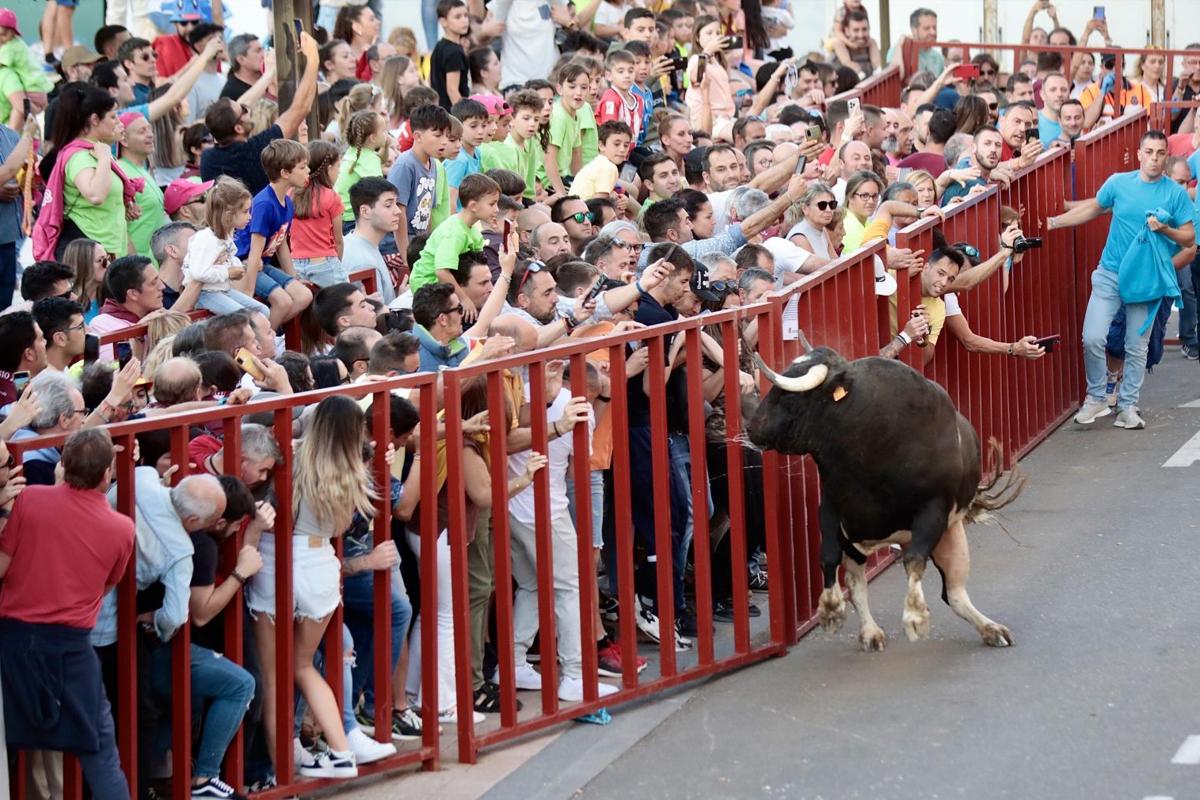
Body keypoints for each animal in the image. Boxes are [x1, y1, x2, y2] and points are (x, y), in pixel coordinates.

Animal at [748, 345, 1022, 652]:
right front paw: (830, 609)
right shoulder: (831, 506)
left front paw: (915, 616)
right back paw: (870, 632)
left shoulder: (933, 510)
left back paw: (991, 629)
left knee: (954, 593)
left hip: (951, 536)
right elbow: (828, 556)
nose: (752, 426)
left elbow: (914, 561)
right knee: (857, 584)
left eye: (790, 396)